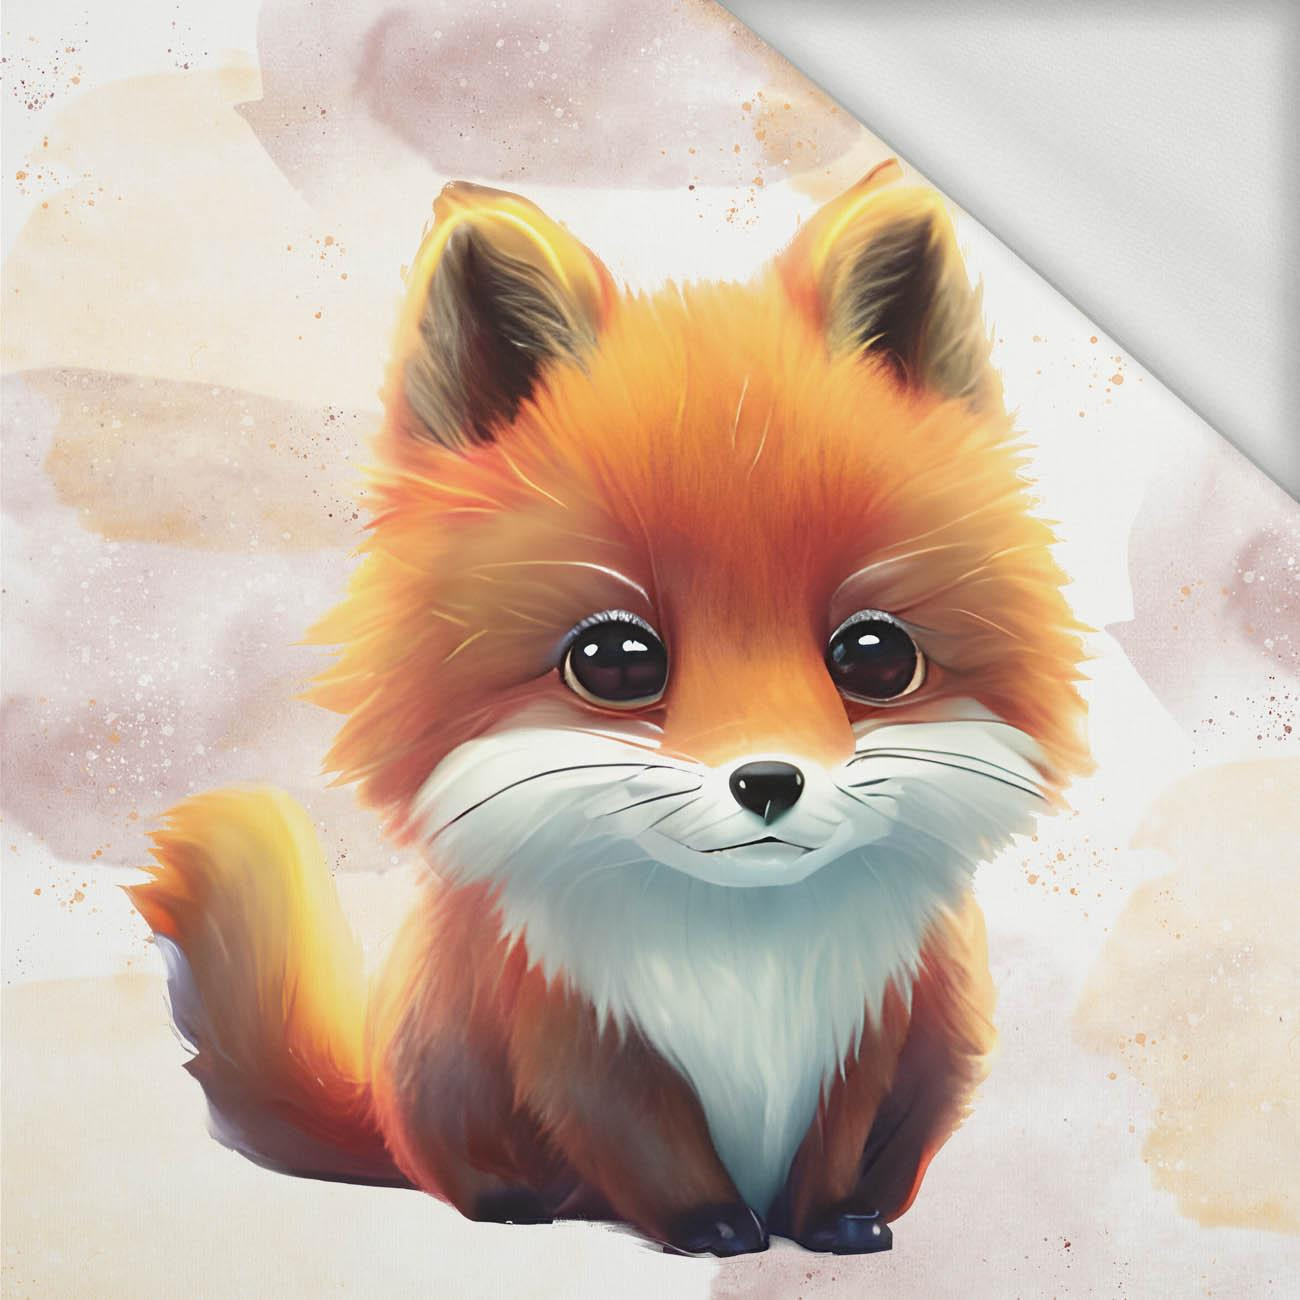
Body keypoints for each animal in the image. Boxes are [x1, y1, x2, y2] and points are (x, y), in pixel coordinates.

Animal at [130, 159, 1089, 1257]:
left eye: (876, 656)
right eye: (617, 662)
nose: (769, 780)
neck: (747, 958)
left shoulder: (879, 1026)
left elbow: (837, 1148)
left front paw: (833, 1224)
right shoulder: (571, 1035)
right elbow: (648, 1148)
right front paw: (714, 1228)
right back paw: (512, 1202)